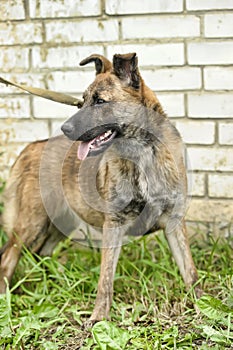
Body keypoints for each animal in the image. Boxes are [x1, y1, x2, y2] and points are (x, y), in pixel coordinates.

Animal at [0, 52, 200, 322]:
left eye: (100, 102)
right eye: (82, 102)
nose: (65, 129)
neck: (141, 154)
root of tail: (31, 147)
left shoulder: (174, 223)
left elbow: (190, 271)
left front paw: (202, 305)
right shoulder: (113, 225)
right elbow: (105, 279)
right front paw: (98, 318)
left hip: (58, 225)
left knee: (43, 254)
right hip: (31, 225)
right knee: (8, 259)